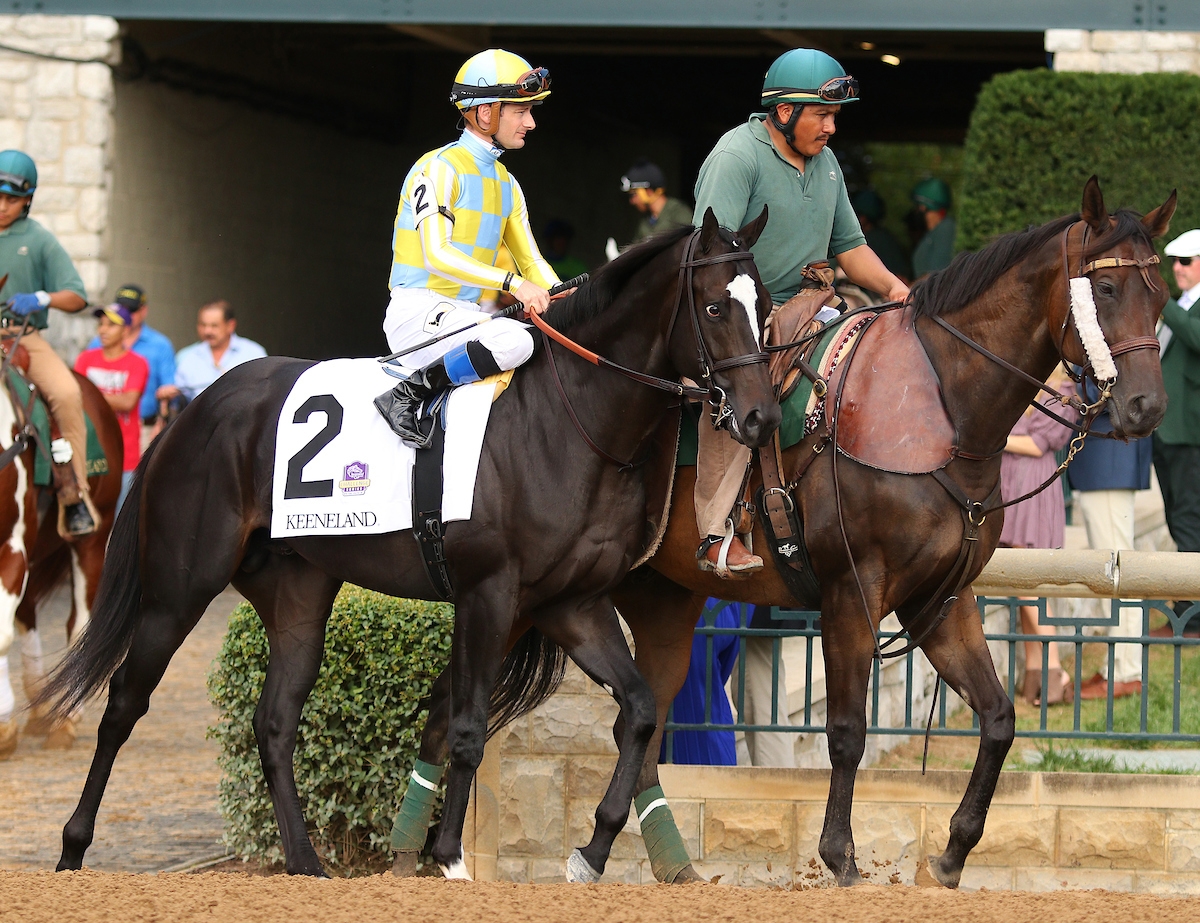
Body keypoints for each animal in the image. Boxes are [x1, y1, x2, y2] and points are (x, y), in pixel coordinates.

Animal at [403, 175, 1171, 883]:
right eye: (1106, 290)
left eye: (1160, 296)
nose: (1145, 407)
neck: (940, 412)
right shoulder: (852, 592)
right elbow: (848, 729)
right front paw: (841, 856)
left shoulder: (939, 600)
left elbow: (999, 717)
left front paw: (951, 853)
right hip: (519, 594)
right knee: (462, 709)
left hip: (655, 601)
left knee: (634, 720)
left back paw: (615, 856)